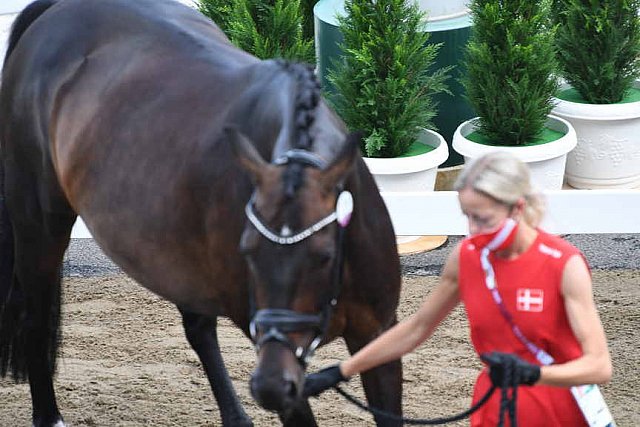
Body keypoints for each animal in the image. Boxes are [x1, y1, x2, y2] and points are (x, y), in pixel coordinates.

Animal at [0, 0, 400, 426]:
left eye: (323, 255)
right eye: (248, 253)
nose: (270, 387)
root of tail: (60, 9)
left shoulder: (378, 336)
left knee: (198, 327)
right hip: (39, 224)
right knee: (35, 316)